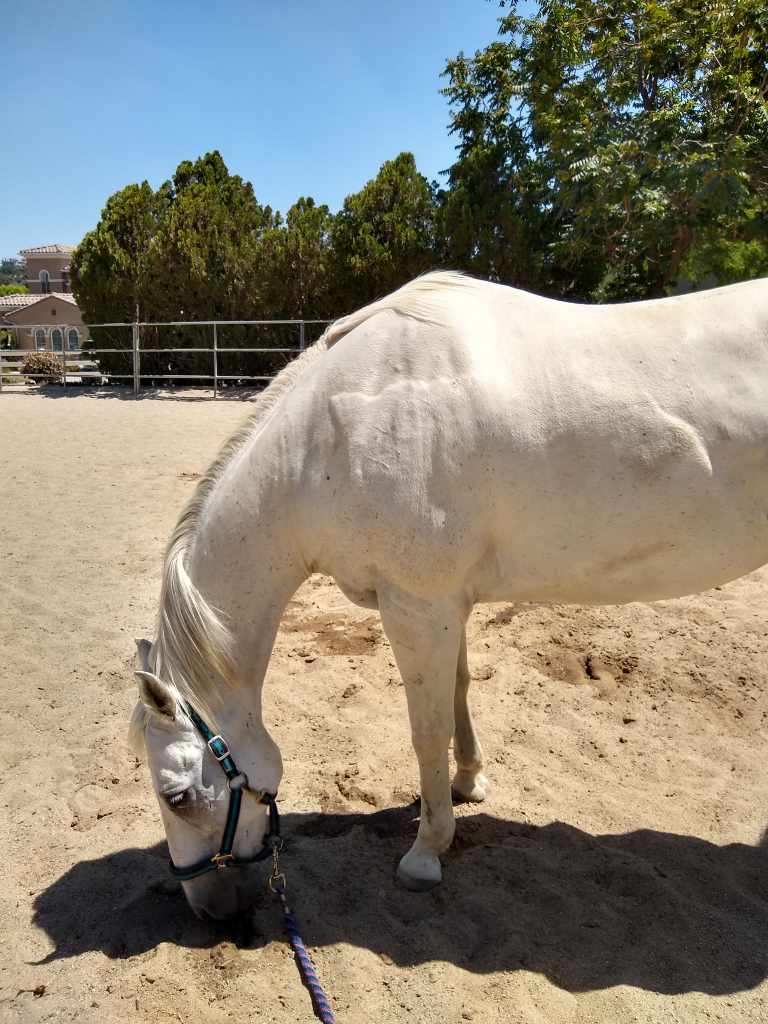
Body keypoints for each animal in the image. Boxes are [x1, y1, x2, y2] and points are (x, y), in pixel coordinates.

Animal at [130, 270, 768, 919]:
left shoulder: (416, 607)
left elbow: (426, 729)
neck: (328, 439)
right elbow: (458, 691)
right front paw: (468, 783)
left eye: (176, 796)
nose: (212, 909)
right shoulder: (444, 603)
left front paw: (426, 852)